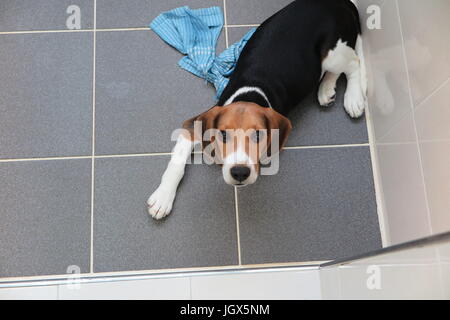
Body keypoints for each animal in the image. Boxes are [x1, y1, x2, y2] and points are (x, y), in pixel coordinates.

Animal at [148, 0, 366, 219]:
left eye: (258, 135)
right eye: (224, 135)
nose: (239, 173)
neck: (250, 94)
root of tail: (340, 2)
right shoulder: (194, 126)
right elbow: (176, 162)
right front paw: (163, 197)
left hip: (333, 53)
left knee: (354, 64)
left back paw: (353, 98)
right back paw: (326, 89)